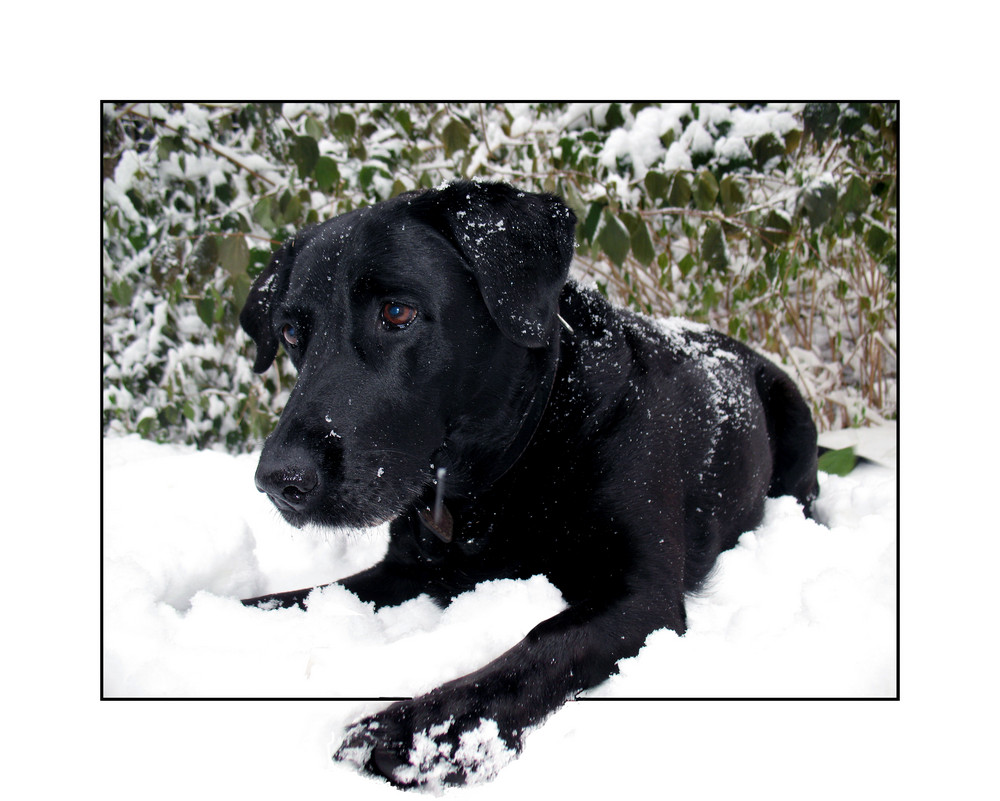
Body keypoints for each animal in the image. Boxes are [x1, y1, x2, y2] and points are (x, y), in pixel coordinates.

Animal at [238, 181, 816, 788]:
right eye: (292, 333)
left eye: (397, 312)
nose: (278, 480)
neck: (509, 470)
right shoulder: (405, 571)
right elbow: (289, 598)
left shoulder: (640, 594)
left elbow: (538, 647)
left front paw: (417, 735)